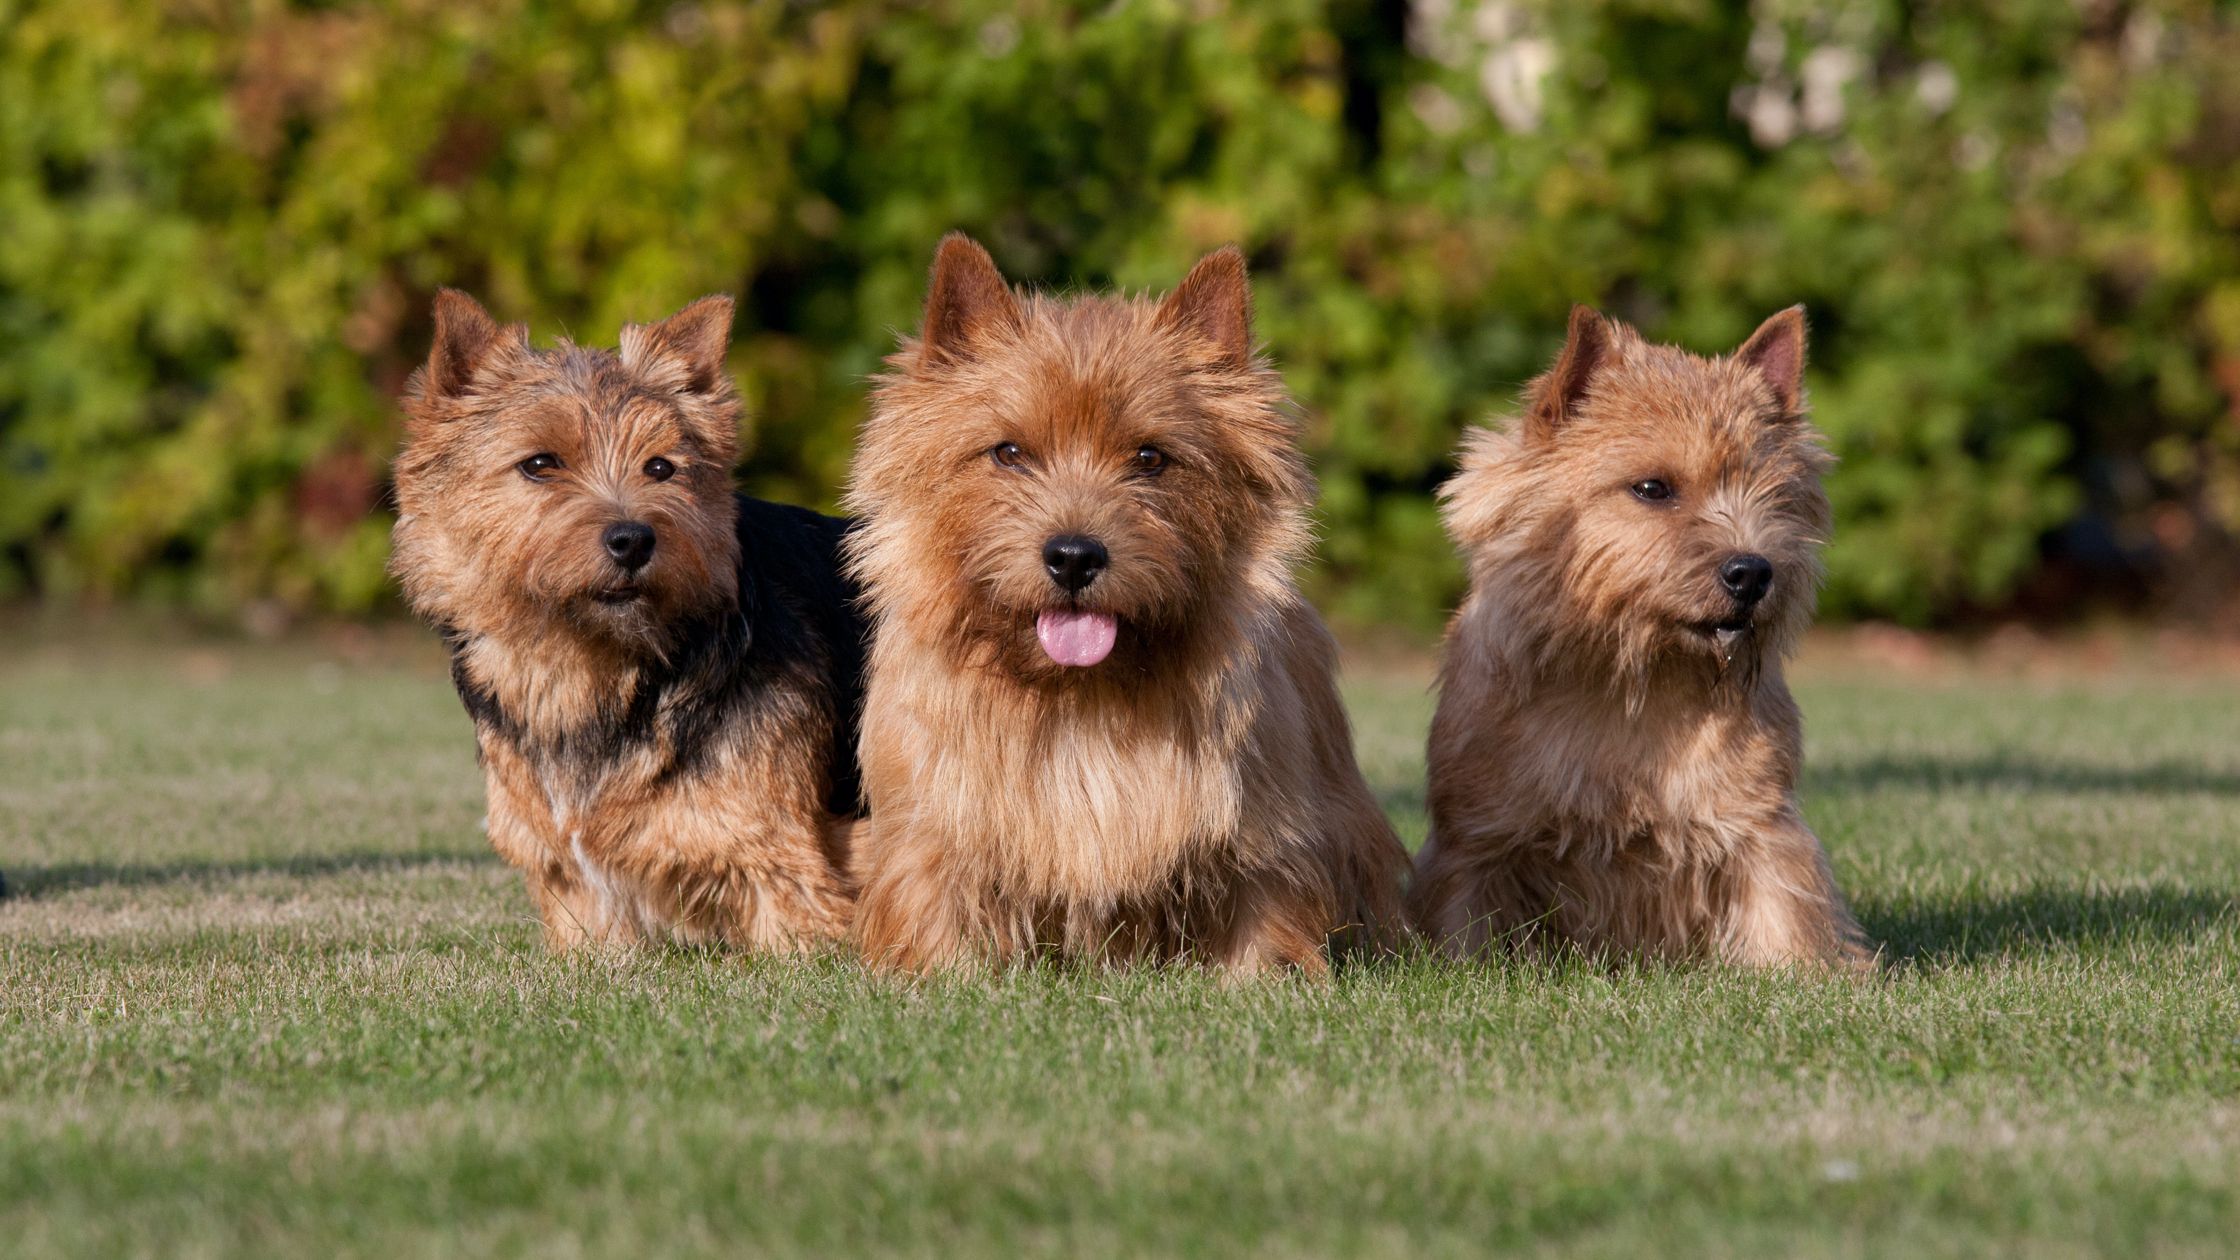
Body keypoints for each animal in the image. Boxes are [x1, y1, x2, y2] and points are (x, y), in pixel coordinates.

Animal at [389, 289, 860, 946]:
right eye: (539, 463)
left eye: (660, 468)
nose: (633, 539)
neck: (589, 672)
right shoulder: (574, 883)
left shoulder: (787, 863)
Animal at [837, 235, 1397, 973]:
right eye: (1008, 452)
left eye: (1150, 458)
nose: (1075, 556)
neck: (1080, 696)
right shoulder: (925, 832)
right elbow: (934, 909)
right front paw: (942, 974)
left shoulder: (1272, 836)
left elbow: (1266, 918)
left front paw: (1256, 981)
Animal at [1415, 307, 1872, 973]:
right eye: (1653, 488)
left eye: (1775, 495)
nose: (1753, 572)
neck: (1634, 682)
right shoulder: (1476, 842)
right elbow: (1463, 926)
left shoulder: (1760, 823)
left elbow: (1783, 909)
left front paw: (1802, 975)